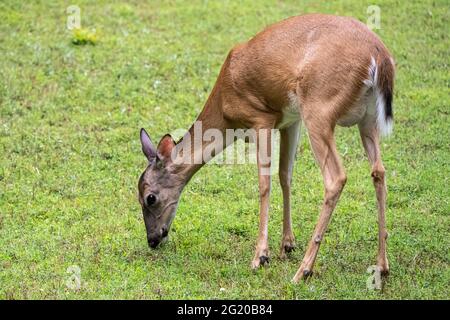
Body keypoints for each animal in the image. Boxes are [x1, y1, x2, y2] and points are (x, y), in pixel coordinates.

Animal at [137, 13, 394, 282]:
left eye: (150, 198)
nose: (152, 239)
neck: (225, 109)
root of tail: (379, 58)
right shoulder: (290, 121)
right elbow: (285, 175)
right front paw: (287, 244)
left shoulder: (261, 119)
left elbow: (264, 184)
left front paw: (260, 255)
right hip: (367, 119)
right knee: (378, 171)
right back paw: (382, 265)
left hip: (319, 109)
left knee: (336, 177)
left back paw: (303, 270)